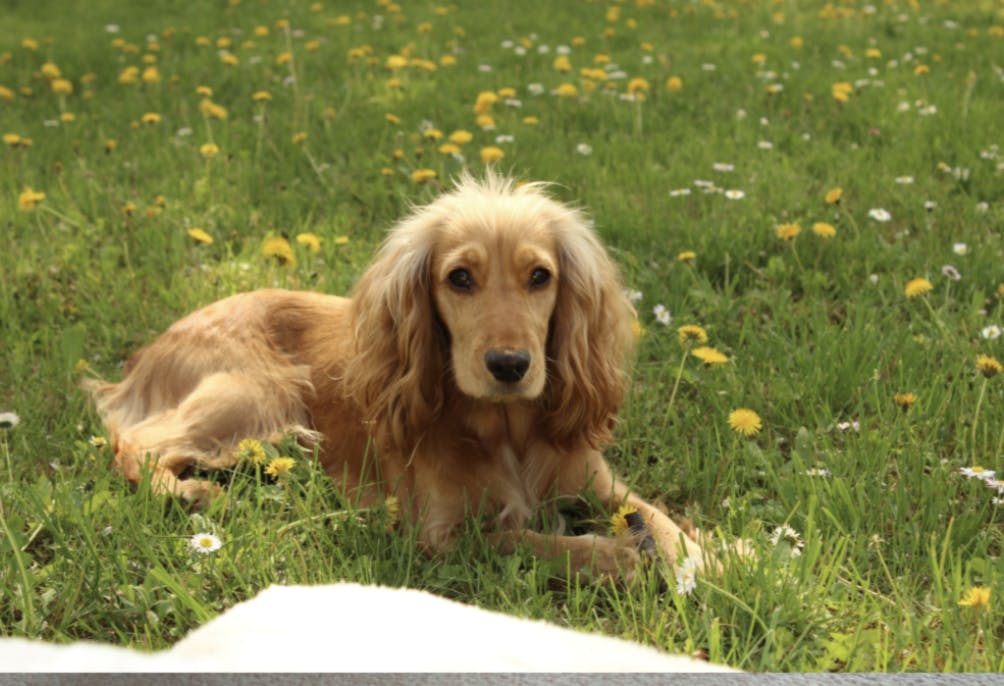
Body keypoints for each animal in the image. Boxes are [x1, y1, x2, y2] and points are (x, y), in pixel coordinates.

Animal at [90, 172, 710, 578]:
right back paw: (189, 492)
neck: (508, 430)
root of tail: (147, 352)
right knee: (136, 444)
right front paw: (616, 556)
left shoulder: (596, 480)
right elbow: (527, 540)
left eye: (540, 276)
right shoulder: (439, 535)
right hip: (259, 393)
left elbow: (657, 516)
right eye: (459, 278)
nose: (510, 365)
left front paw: (713, 556)